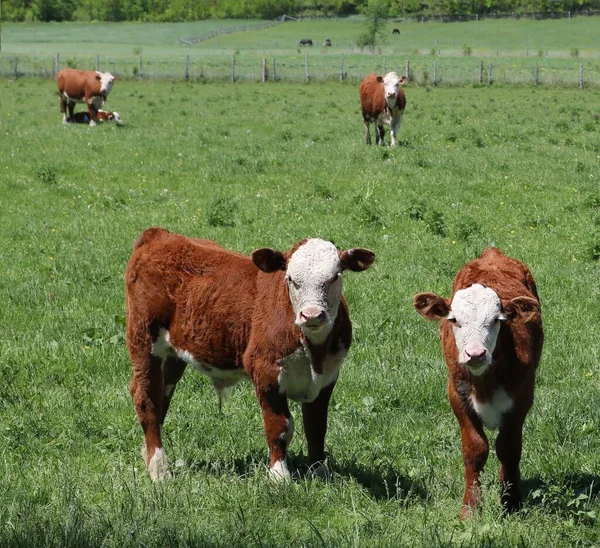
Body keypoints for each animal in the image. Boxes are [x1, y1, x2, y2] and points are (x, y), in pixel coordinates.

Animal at [124, 229, 372, 482]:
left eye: (335, 276)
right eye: (290, 279)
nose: (311, 315)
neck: (314, 353)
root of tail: (159, 234)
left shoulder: (327, 378)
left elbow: (316, 426)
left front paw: (320, 472)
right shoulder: (266, 372)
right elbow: (280, 426)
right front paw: (279, 476)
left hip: (174, 353)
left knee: (160, 395)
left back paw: (148, 454)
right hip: (143, 337)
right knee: (146, 397)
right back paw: (159, 468)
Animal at [412, 247, 544, 520]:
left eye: (496, 320)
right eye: (453, 320)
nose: (475, 354)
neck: (485, 384)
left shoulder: (522, 398)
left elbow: (509, 449)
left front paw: (511, 502)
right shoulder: (457, 395)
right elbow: (475, 450)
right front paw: (470, 510)